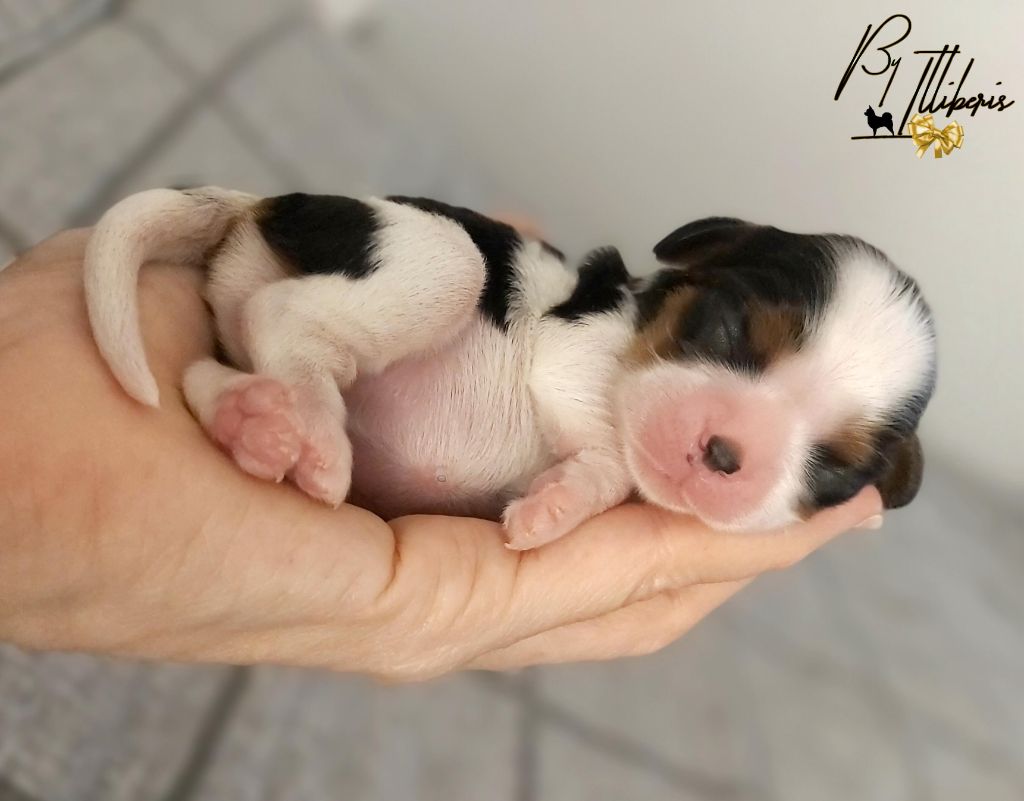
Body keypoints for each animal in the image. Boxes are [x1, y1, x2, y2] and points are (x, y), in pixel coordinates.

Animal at [83, 189, 937, 553]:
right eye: (729, 330)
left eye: (832, 467)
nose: (726, 453)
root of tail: (253, 202)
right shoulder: (574, 353)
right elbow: (608, 449)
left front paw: (552, 506)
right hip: (441, 256)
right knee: (280, 317)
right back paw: (316, 430)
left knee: (205, 368)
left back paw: (256, 425)